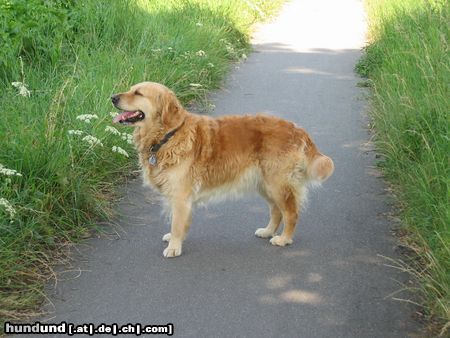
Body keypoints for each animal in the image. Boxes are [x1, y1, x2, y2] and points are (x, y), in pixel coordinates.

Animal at [110, 81, 332, 256]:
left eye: (138, 93)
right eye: (131, 89)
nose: (112, 97)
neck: (168, 135)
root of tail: (297, 129)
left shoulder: (181, 195)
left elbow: (176, 222)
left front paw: (174, 247)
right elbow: (178, 222)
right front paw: (175, 239)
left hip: (277, 184)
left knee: (291, 213)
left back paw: (283, 239)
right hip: (265, 184)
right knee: (277, 211)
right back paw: (268, 231)